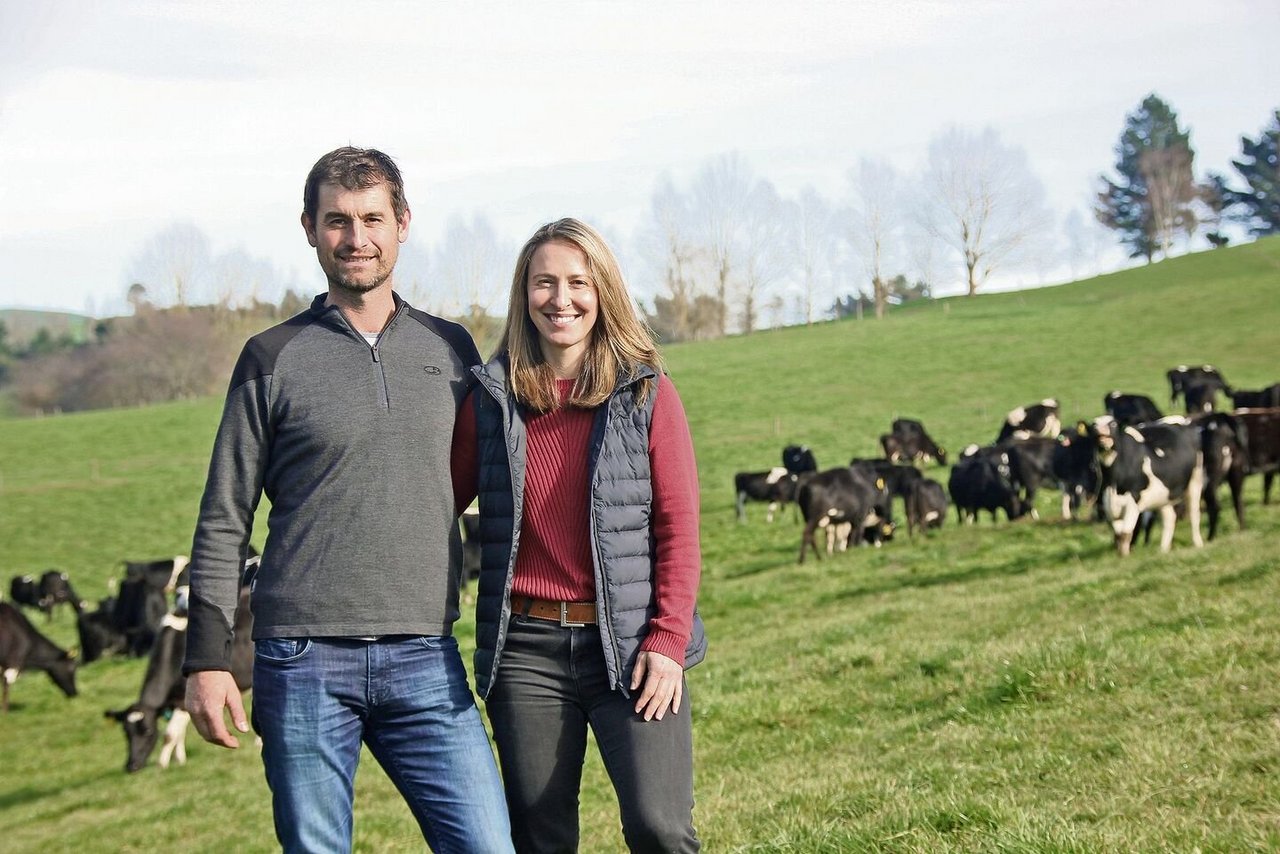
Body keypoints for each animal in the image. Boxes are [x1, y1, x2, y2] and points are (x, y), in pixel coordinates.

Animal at [107, 571, 254, 773]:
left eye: (148, 731)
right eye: (126, 732)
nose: (132, 766)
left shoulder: (183, 700)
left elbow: (170, 734)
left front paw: (162, 765)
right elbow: (178, 733)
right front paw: (180, 759)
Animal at [1085, 414, 1203, 560]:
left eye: (1112, 424)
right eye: (1094, 425)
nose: (1100, 431)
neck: (1113, 484)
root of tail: (1179, 419)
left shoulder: (1133, 501)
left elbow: (1125, 533)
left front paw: (1125, 557)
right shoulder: (1108, 508)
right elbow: (1118, 535)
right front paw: (1121, 555)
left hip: (1195, 481)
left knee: (1194, 514)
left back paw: (1198, 543)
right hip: (1163, 495)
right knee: (1170, 518)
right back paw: (1163, 550)